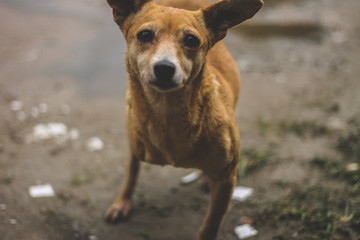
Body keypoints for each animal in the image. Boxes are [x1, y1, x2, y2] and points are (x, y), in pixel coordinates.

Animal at [102, 0, 262, 239]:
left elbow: (211, 223)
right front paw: (122, 202)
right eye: (145, 35)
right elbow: (131, 172)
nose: (164, 68)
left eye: (191, 40)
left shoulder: (226, 179)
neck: (167, 111)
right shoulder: (135, 144)